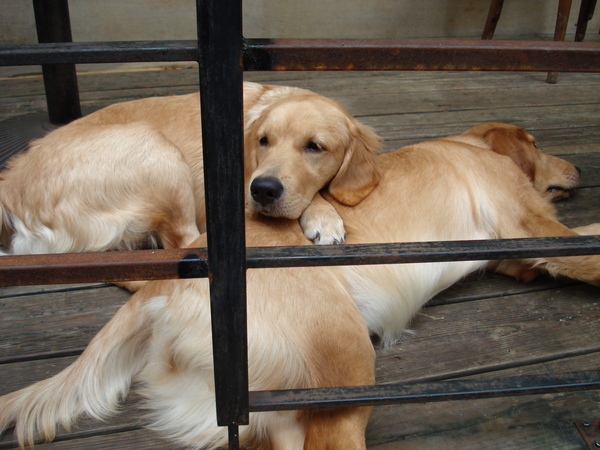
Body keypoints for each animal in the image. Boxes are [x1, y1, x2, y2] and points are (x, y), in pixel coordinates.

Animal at [0, 80, 380, 260]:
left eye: (314, 147)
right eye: (264, 140)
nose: (262, 190)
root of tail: (10, 187)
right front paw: (325, 218)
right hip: (157, 149)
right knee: (186, 240)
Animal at [0, 123, 596, 450]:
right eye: (538, 144)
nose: (579, 169)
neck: (471, 144)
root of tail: (161, 290)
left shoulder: (519, 251)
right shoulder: (531, 224)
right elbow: (586, 248)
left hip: (277, 405)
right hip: (346, 363)